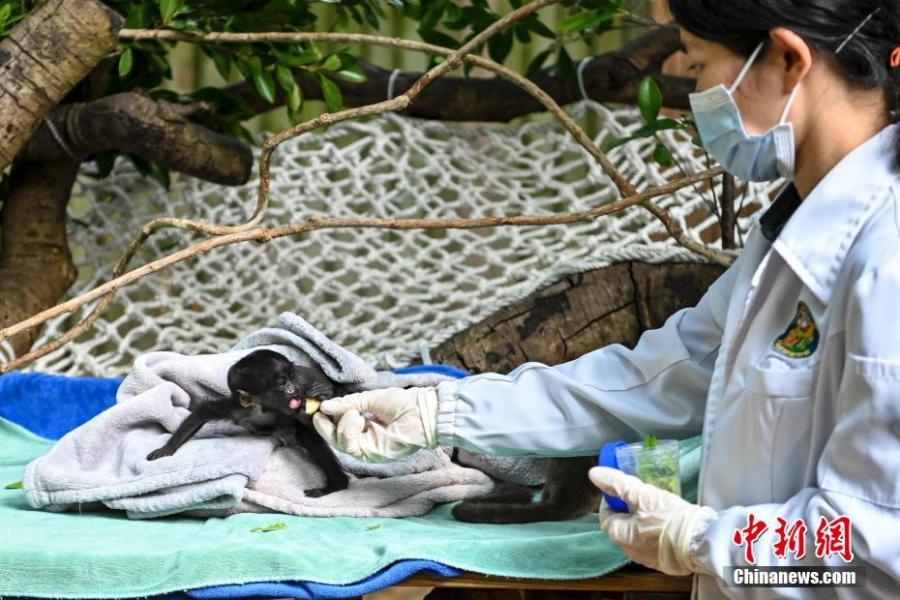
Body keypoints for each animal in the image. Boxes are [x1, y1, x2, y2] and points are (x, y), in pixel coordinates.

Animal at [146, 349, 354, 497]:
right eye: (282, 383)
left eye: (292, 377)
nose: (293, 388)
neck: (263, 408)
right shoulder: (236, 408)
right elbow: (202, 412)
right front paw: (167, 449)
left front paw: (324, 395)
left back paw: (336, 484)